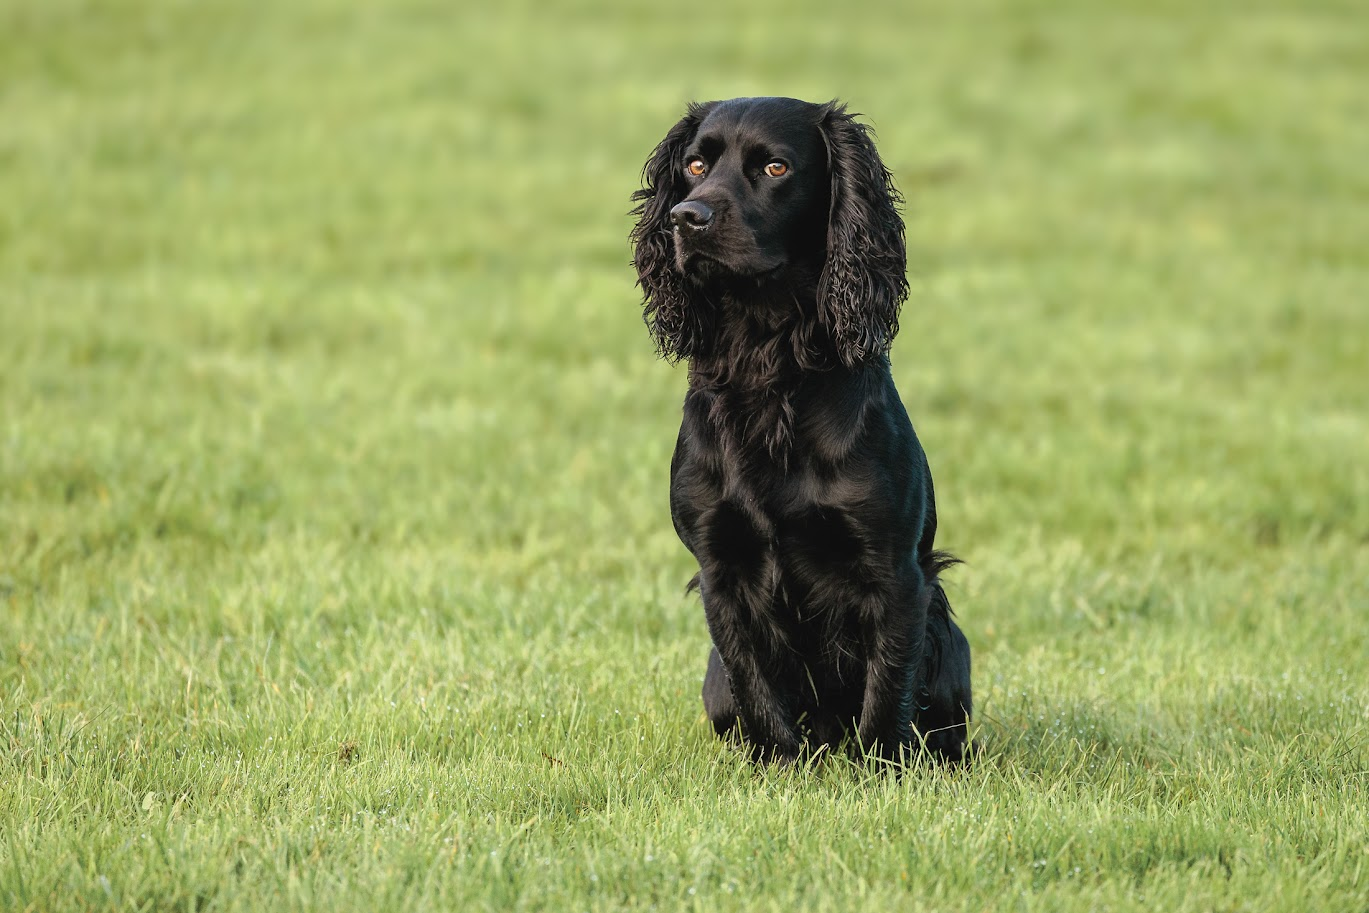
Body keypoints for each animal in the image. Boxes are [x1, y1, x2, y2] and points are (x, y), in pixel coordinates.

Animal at [629, 98, 974, 766]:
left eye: (776, 167)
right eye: (695, 165)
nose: (688, 217)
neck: (768, 363)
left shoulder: (894, 570)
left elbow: (886, 687)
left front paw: (882, 771)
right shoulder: (721, 568)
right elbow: (756, 683)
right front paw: (777, 768)